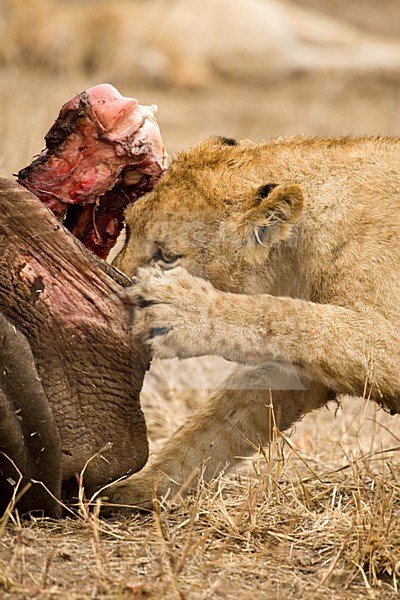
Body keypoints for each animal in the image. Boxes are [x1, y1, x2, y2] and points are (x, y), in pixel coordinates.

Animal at [106, 135, 400, 506]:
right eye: (128, 227)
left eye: (167, 256)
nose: (115, 288)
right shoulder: (293, 372)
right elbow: (218, 426)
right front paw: (135, 490)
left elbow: (290, 315)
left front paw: (183, 310)